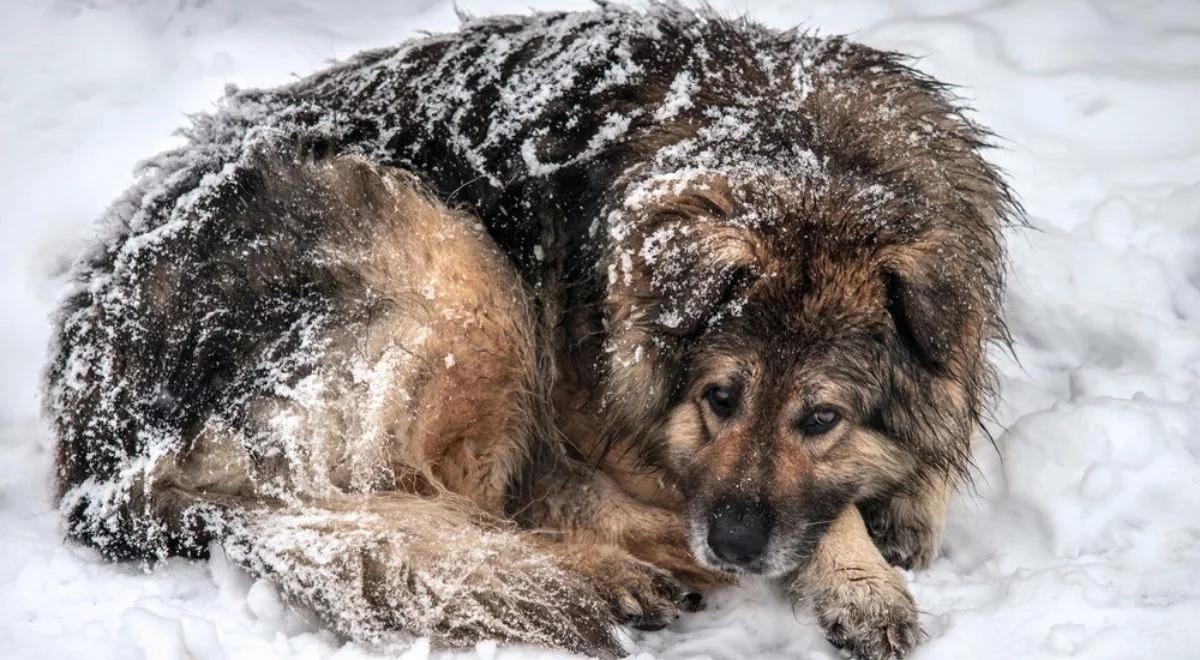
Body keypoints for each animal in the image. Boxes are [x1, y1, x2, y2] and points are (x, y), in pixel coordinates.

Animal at [46, 5, 1022, 660]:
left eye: (820, 420)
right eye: (719, 398)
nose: (736, 545)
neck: (808, 156)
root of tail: (101, 461)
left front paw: (903, 505)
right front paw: (859, 575)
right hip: (459, 272)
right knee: (444, 503)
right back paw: (617, 571)